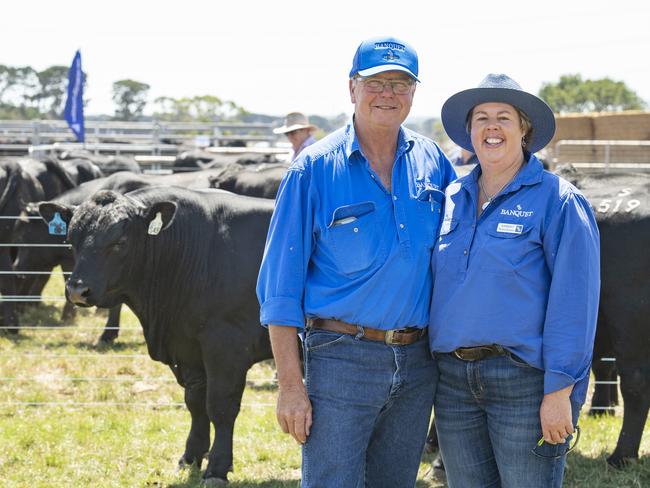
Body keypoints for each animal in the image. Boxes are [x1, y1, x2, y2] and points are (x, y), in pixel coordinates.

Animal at [39, 186, 274, 480]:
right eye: (72, 240)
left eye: (120, 241)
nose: (77, 291)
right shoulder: (188, 346)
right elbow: (196, 404)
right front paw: (190, 457)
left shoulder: (226, 344)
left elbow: (220, 406)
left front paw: (217, 467)